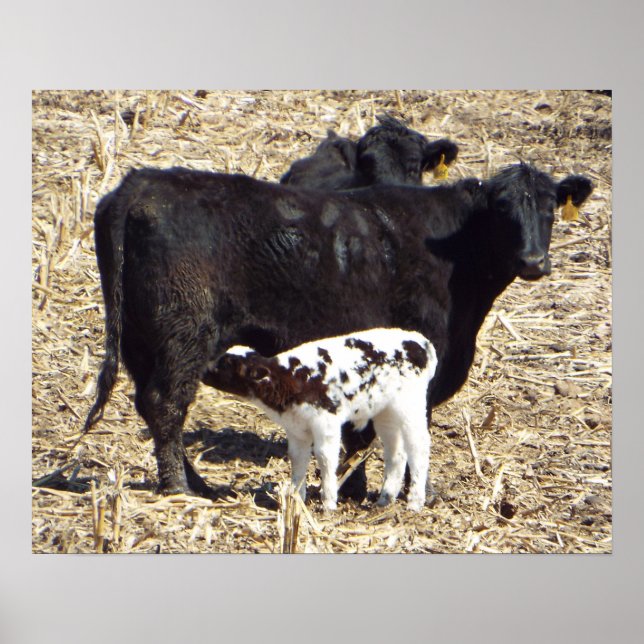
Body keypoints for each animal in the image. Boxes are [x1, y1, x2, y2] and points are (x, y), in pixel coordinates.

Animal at [204, 328, 438, 511]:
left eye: (227, 364)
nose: (205, 370)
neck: (292, 378)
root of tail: (420, 341)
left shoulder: (326, 422)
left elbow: (326, 459)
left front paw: (328, 503)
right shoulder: (296, 429)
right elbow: (297, 459)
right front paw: (296, 498)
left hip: (411, 406)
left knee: (419, 447)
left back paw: (415, 502)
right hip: (385, 412)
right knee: (396, 452)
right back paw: (385, 499)